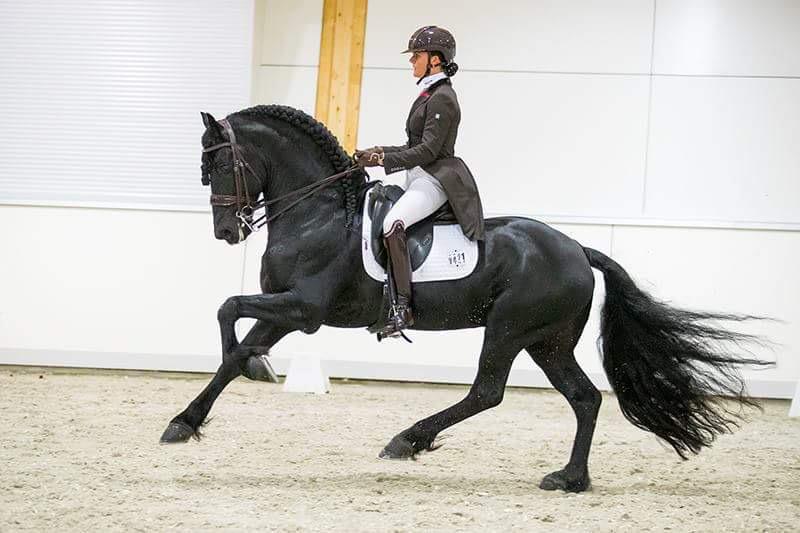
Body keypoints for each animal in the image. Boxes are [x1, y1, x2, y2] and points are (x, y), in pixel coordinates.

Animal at [161, 106, 768, 492]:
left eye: (219, 163)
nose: (226, 232)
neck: (318, 214)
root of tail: (577, 249)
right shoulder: (283, 308)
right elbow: (234, 345)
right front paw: (187, 421)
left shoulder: (303, 310)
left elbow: (227, 310)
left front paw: (248, 370)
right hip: (548, 341)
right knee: (584, 399)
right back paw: (570, 479)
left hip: (508, 328)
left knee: (488, 391)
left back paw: (407, 440)